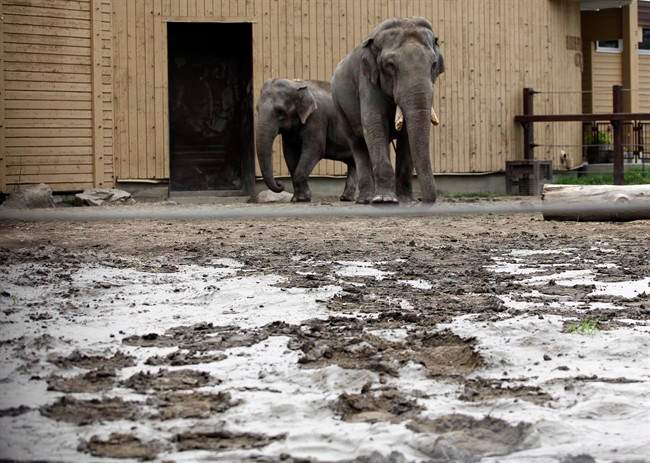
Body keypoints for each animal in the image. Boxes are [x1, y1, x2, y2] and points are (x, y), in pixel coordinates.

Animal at [331, 17, 444, 204]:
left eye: (434, 64)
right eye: (390, 65)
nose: (422, 200)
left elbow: (405, 136)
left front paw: (406, 200)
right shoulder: (367, 81)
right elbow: (374, 124)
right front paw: (385, 200)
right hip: (339, 108)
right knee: (357, 144)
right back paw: (366, 199)